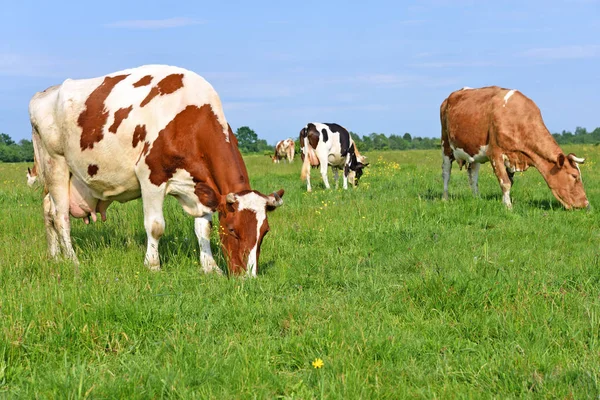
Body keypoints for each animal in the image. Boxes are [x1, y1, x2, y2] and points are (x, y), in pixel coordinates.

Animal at [440, 86, 592, 211]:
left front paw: (504, 202)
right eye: (574, 176)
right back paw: (445, 198)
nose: (586, 203)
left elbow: (509, 182)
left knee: (473, 175)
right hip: (446, 145)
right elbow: (505, 183)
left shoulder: (512, 157)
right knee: (446, 173)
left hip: (474, 152)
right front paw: (508, 207)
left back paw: (477, 198)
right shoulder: (495, 153)